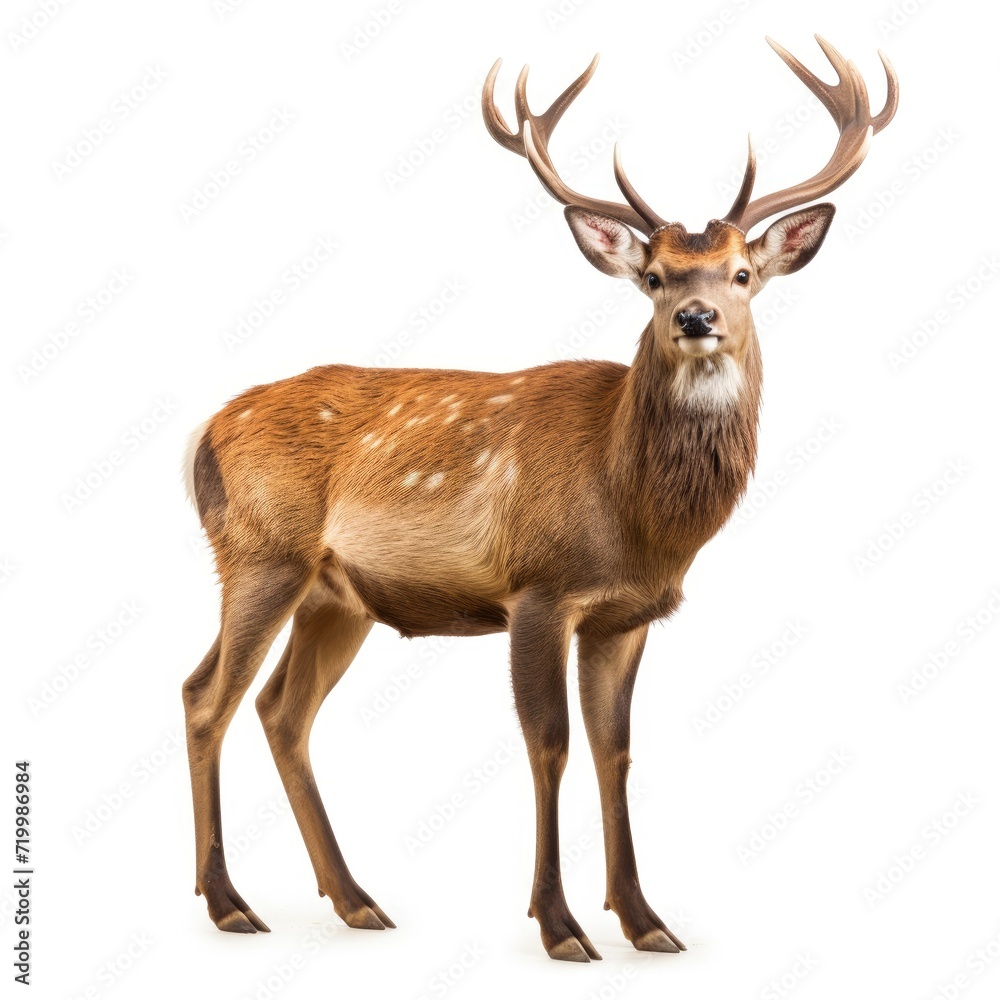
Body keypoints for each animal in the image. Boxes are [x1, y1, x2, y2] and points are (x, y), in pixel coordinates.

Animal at [182, 36, 897, 962]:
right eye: (654, 276)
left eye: (744, 273)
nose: (698, 317)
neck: (632, 514)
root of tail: (203, 435)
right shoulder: (538, 589)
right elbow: (549, 743)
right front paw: (559, 925)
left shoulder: (625, 614)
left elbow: (614, 748)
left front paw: (645, 920)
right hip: (260, 554)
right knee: (207, 697)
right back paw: (228, 902)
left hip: (338, 597)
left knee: (281, 710)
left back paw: (354, 900)